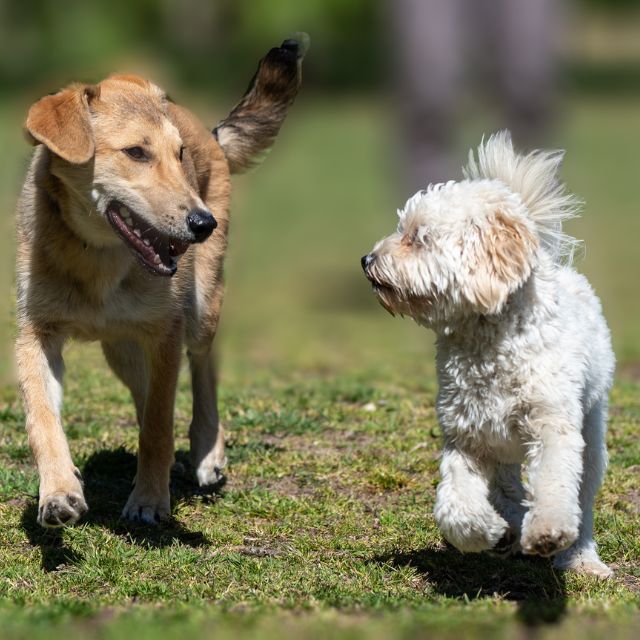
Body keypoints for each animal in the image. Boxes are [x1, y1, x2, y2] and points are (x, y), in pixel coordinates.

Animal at [13, 35, 308, 528]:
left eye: (179, 155)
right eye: (136, 152)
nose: (203, 223)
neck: (97, 258)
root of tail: (210, 132)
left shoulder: (166, 333)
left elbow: (157, 425)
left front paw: (150, 500)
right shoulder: (36, 334)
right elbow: (43, 420)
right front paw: (58, 491)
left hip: (202, 308)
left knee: (203, 368)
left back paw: (207, 452)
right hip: (122, 349)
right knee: (147, 391)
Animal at [362, 132, 612, 576]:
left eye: (418, 236)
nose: (367, 260)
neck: (487, 342)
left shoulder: (552, 426)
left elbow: (554, 484)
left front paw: (547, 532)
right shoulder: (467, 438)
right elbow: (454, 508)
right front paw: (490, 533)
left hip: (591, 430)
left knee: (581, 496)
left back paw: (581, 557)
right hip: (502, 449)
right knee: (508, 486)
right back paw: (510, 525)